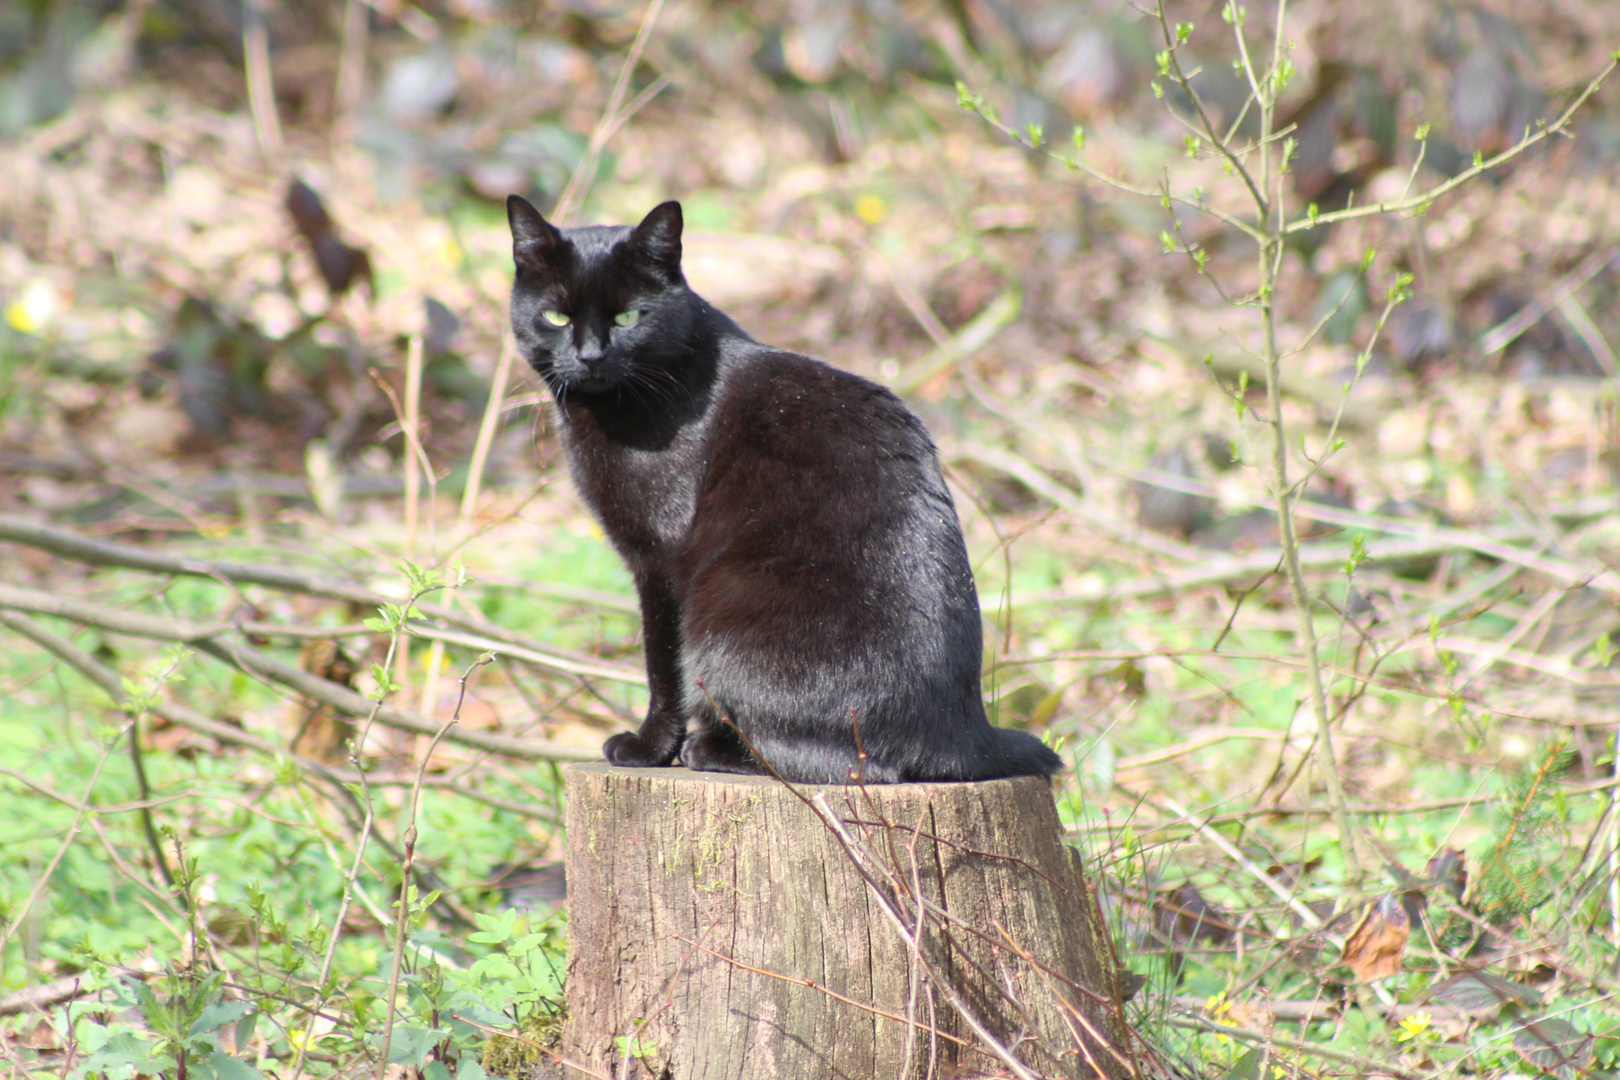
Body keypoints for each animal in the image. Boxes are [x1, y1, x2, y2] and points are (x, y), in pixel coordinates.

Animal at [505, 196, 1062, 786]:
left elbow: (663, 667)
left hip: (721, 622)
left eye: (629, 317)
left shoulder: (660, 561)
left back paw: (710, 751)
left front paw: (648, 746)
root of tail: (967, 736)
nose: (590, 356)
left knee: (844, 764)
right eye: (556, 316)